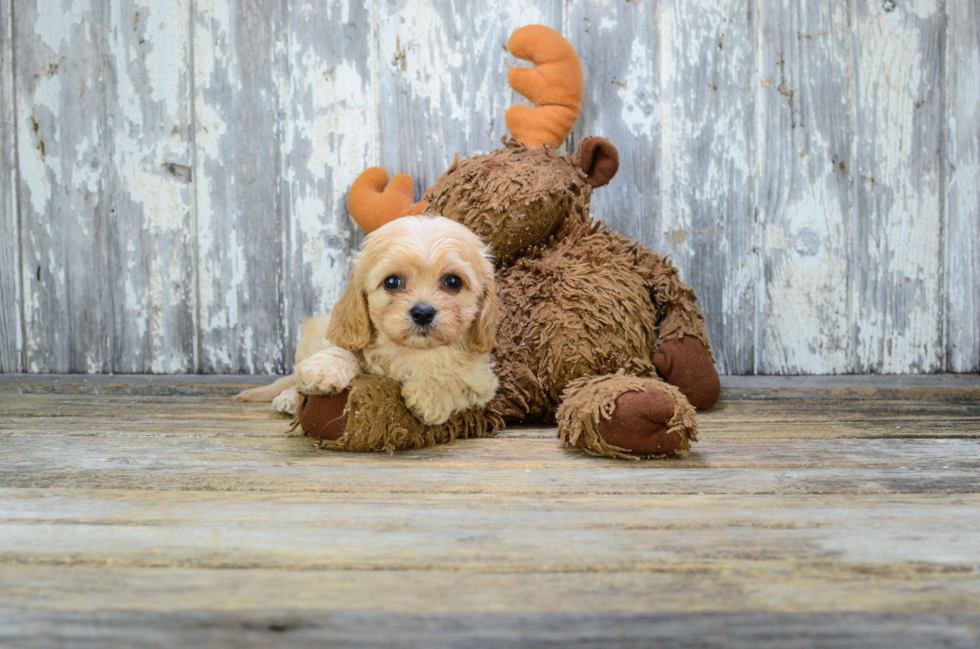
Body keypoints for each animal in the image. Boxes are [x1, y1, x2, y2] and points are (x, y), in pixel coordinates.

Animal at [235, 214, 498, 426]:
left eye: (453, 281)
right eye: (392, 282)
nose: (422, 312)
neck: (413, 351)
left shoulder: (482, 383)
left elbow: (454, 380)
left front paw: (428, 394)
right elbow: (345, 350)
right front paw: (324, 369)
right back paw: (289, 398)